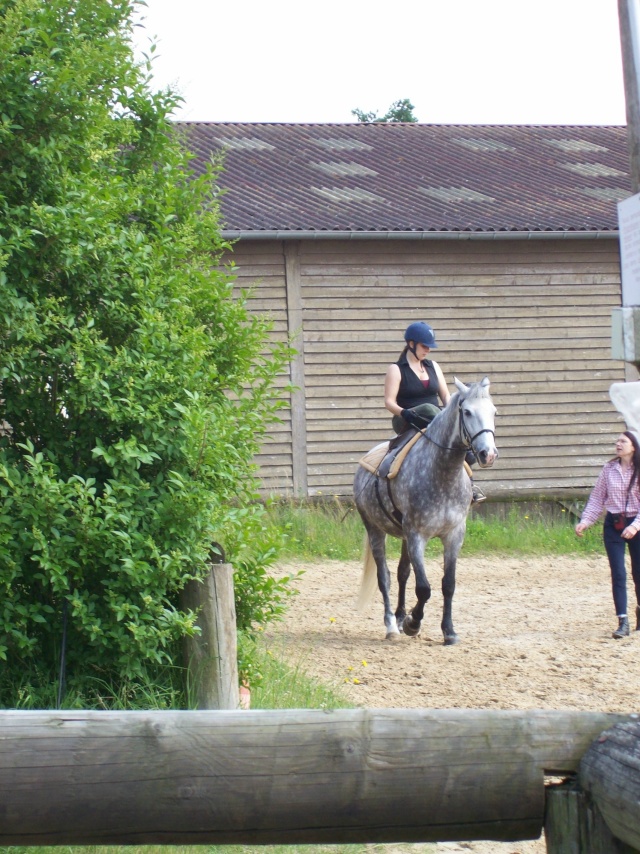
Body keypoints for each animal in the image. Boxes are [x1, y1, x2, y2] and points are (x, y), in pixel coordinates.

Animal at [352, 378, 498, 644]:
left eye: (494, 412)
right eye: (467, 412)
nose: (488, 454)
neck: (442, 474)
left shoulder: (454, 536)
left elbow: (448, 584)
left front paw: (448, 631)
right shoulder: (417, 536)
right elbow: (424, 588)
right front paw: (413, 623)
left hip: (403, 537)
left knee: (402, 573)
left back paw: (399, 616)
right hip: (375, 529)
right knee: (384, 578)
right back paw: (392, 625)